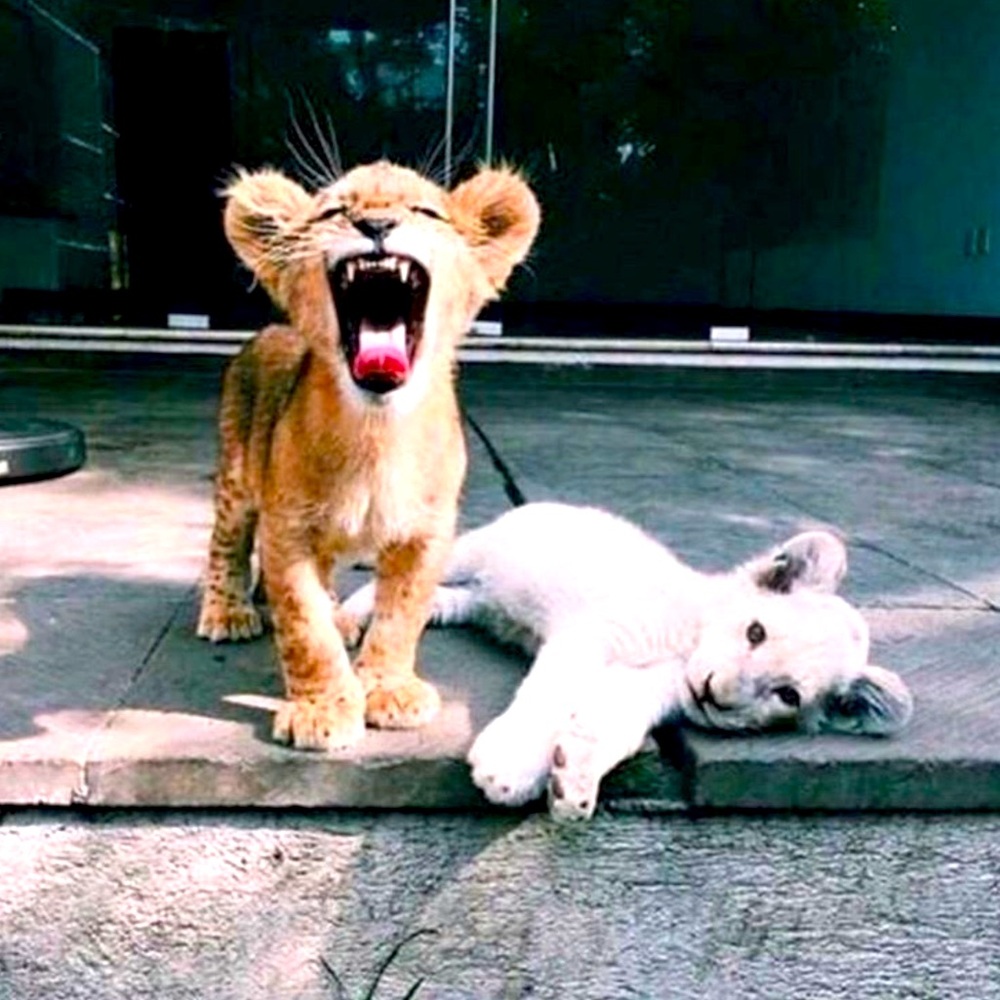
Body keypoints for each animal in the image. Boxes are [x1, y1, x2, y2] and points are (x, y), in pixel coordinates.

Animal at [196, 160, 540, 751]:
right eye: (335, 211)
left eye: (425, 211)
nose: (376, 224)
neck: (378, 432)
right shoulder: (288, 528)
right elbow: (302, 625)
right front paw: (322, 710)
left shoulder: (427, 534)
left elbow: (402, 614)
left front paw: (389, 690)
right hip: (238, 476)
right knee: (227, 544)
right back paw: (228, 612)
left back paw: (341, 620)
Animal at [342, 502, 914, 820]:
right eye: (756, 631)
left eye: (788, 695)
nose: (714, 694)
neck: (684, 648)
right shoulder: (593, 635)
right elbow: (551, 694)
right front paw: (509, 767)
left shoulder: (647, 689)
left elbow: (609, 724)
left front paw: (573, 783)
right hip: (472, 551)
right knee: (395, 582)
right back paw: (347, 617)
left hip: (483, 599)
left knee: (439, 602)